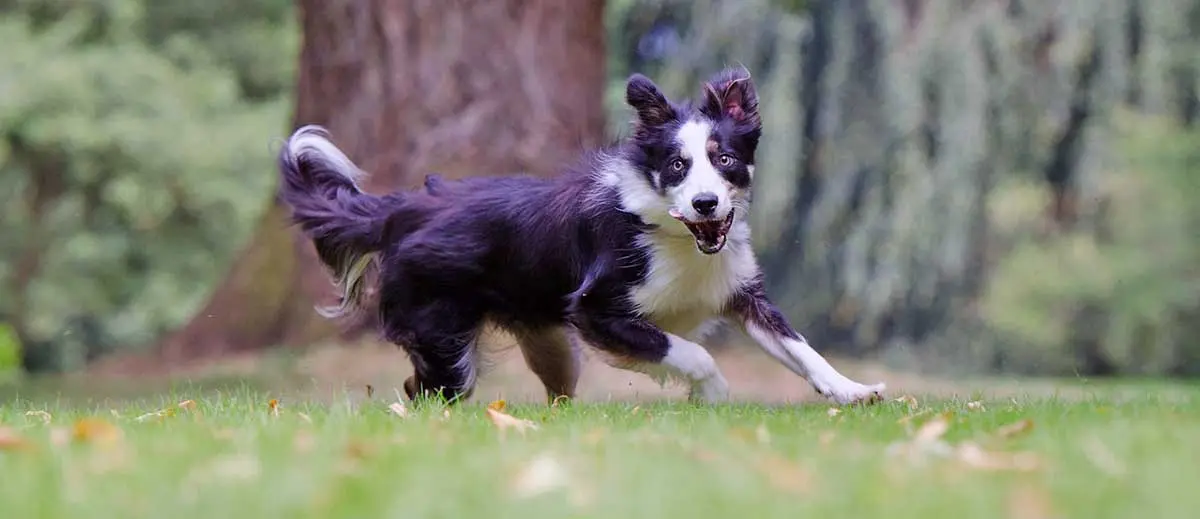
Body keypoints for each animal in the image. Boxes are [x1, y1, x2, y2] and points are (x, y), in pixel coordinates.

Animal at [276, 66, 888, 406]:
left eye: (726, 160)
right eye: (677, 166)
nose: (706, 203)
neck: (673, 234)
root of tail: (402, 209)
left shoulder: (740, 291)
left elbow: (801, 349)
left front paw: (855, 391)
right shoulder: (597, 310)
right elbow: (689, 351)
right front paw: (711, 394)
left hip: (550, 344)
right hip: (444, 334)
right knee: (424, 391)